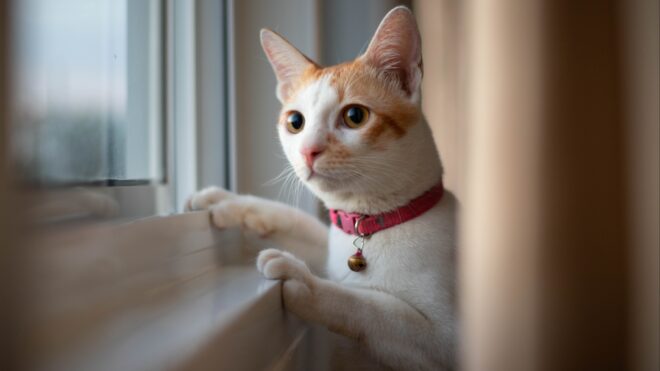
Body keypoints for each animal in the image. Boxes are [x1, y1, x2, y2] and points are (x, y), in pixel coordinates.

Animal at [186, 6, 454, 371]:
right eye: (295, 122)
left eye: (355, 116)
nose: (307, 151)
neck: (371, 225)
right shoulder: (330, 245)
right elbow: (298, 223)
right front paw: (230, 201)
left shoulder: (442, 340)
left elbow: (370, 304)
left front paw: (305, 281)